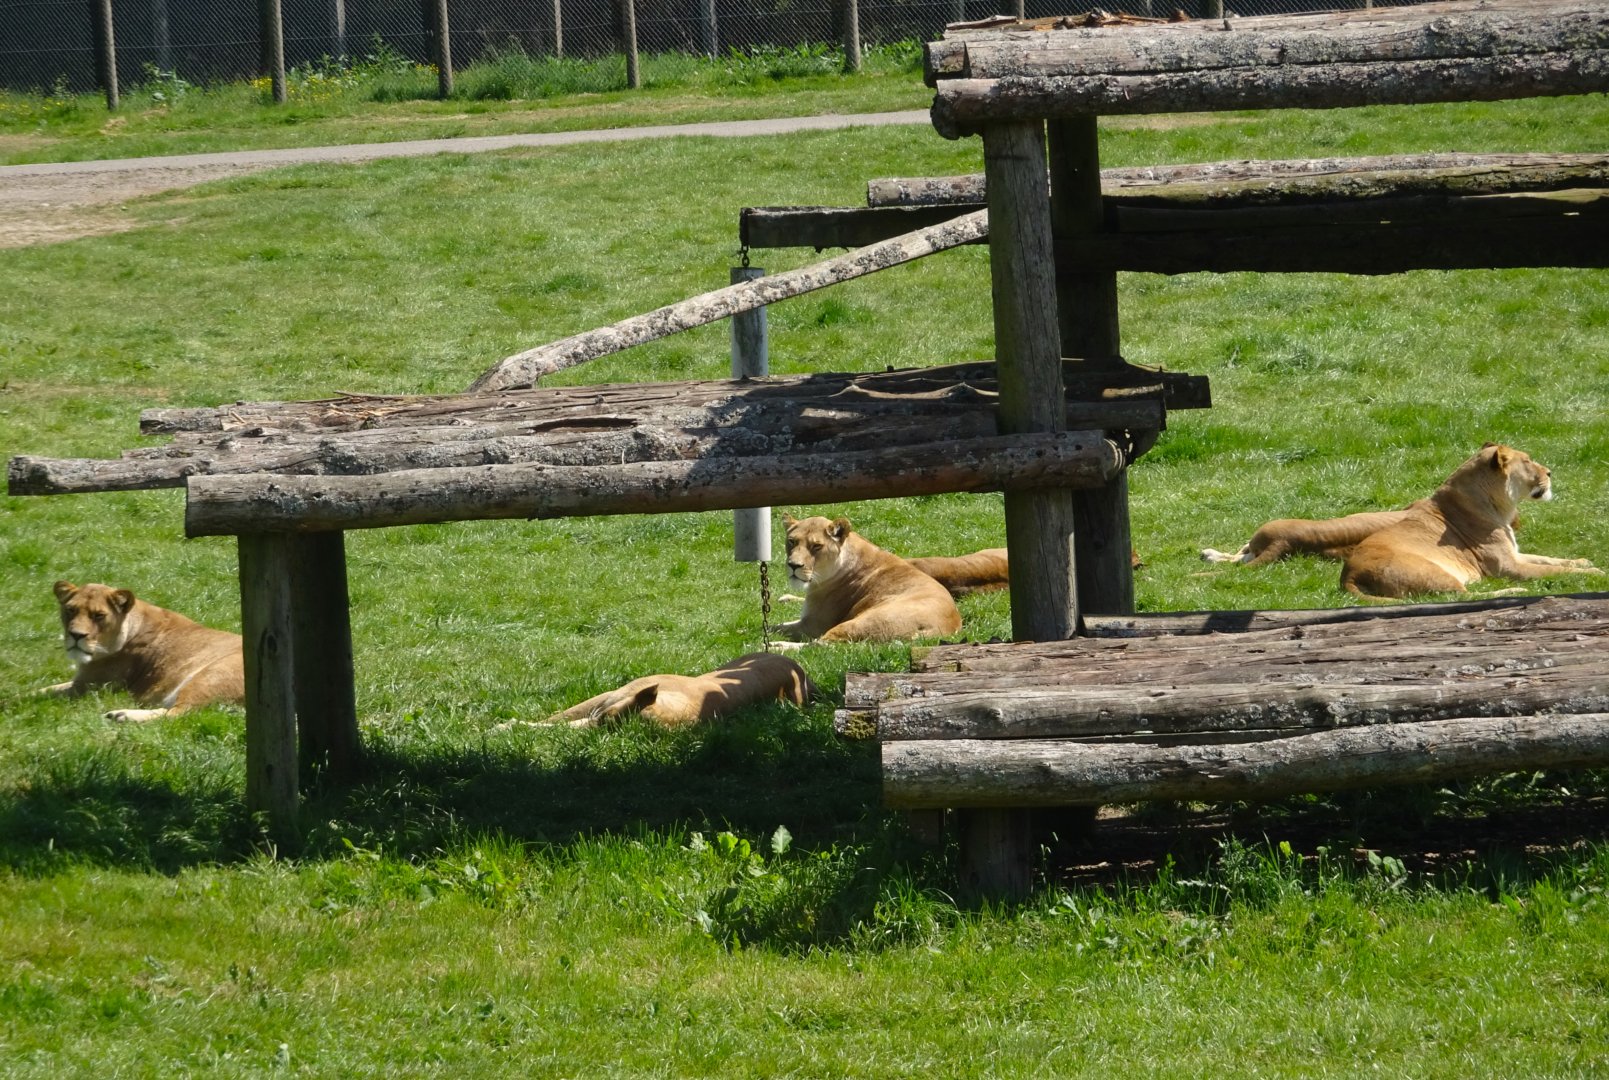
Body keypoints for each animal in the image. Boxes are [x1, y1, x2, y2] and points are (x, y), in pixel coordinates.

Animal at [38, 581, 245, 721]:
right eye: (71, 610)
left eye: (99, 615)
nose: (76, 635)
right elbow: (45, 689)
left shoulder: (88, 685)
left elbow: (43, 692)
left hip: (211, 675)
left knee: (177, 714)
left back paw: (120, 715)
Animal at [774, 515, 962, 642]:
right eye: (792, 541)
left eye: (816, 546)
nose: (793, 565)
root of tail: (946, 626)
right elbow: (780, 624)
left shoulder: (813, 625)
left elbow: (777, 628)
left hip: (865, 620)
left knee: (820, 645)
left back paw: (779, 646)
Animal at [1201, 444, 1603, 598]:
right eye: (1529, 461)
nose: (1549, 473)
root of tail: (1348, 575)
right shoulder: (1506, 566)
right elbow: (1553, 570)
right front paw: (1594, 575)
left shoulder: (1517, 555)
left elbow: (1554, 559)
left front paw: (1587, 562)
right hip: (1440, 573)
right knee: (1463, 596)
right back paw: (1517, 594)